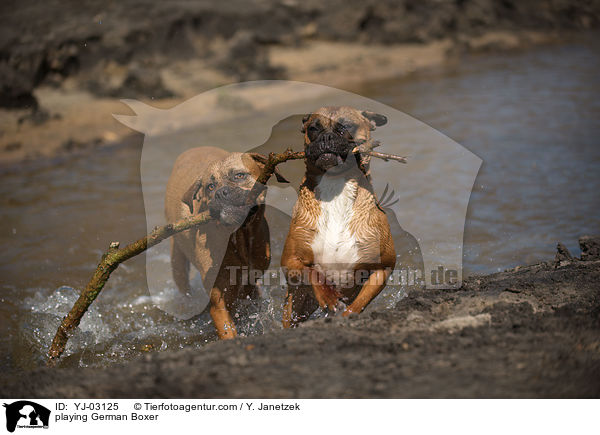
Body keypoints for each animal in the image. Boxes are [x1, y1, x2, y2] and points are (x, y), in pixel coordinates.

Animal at [163, 147, 288, 340]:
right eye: (210, 187)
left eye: (239, 175)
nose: (221, 193)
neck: (239, 235)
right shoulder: (219, 304)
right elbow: (229, 332)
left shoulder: (249, 285)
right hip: (178, 260)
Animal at [282, 106, 396, 328]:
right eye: (313, 129)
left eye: (346, 127)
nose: (326, 136)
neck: (335, 185)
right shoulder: (290, 261)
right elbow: (314, 273)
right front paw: (329, 297)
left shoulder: (383, 268)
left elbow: (359, 302)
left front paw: (346, 316)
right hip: (294, 304)